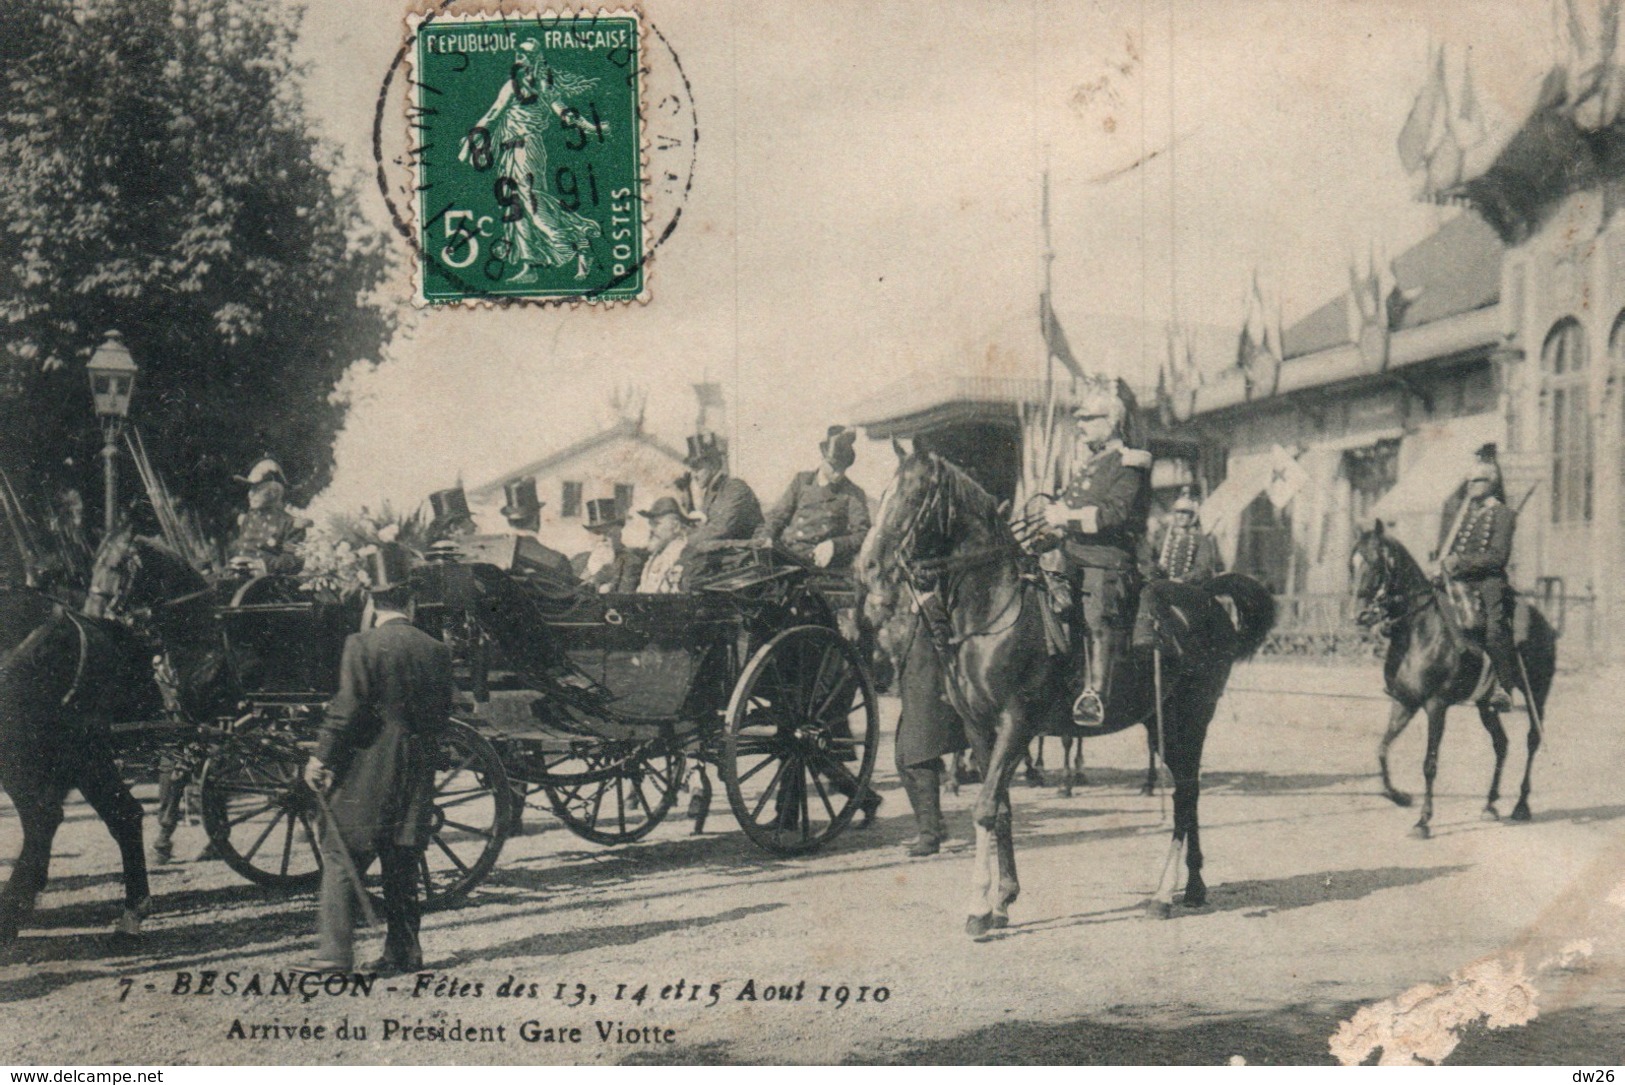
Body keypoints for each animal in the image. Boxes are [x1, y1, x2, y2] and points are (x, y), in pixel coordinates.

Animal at [858, 448, 1274, 935]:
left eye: (911, 495)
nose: (867, 566)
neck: (995, 609)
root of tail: (1205, 595)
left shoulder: (1016, 722)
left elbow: (984, 808)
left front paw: (979, 908)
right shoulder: (980, 728)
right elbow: (1000, 807)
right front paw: (1004, 900)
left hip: (1189, 717)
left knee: (1185, 792)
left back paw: (1163, 895)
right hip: (1160, 721)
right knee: (1188, 794)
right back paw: (1193, 888)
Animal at [1345, 526, 1560, 838]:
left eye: (1375, 563)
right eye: (1352, 564)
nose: (1359, 615)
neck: (1419, 631)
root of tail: (1544, 621)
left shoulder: (1436, 705)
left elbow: (1429, 763)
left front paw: (1423, 821)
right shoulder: (1404, 702)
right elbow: (1382, 750)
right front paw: (1399, 796)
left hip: (1538, 694)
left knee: (1532, 739)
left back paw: (1521, 805)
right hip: (1485, 705)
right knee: (1501, 743)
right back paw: (1490, 805)